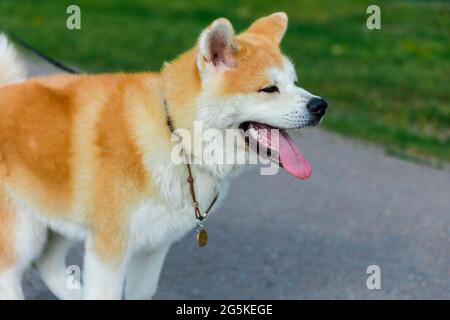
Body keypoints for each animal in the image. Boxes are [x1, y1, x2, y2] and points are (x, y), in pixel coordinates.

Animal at [0, 11, 326, 298]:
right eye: (269, 89)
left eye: (295, 82)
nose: (320, 105)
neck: (176, 137)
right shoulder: (110, 249)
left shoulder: (154, 247)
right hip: (24, 231)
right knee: (11, 276)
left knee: (47, 264)